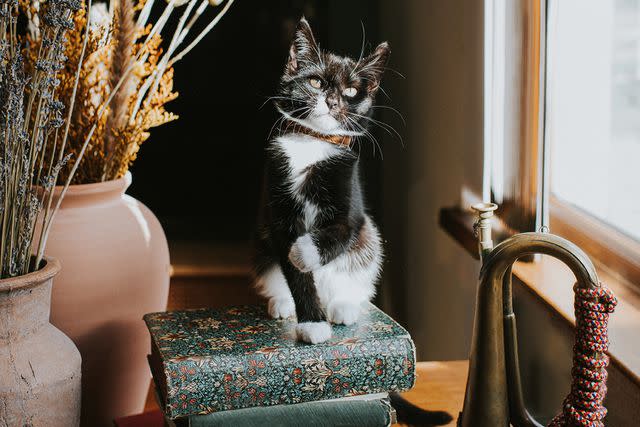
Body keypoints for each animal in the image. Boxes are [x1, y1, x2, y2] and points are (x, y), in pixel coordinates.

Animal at [254, 17, 384, 344]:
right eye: (316, 82)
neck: (313, 141)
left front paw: (302, 252)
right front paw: (312, 323)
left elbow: (341, 232)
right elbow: (293, 268)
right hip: (261, 243)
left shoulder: (351, 206)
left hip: (369, 242)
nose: (333, 100)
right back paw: (282, 303)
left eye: (350, 90)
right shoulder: (278, 210)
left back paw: (344, 305)